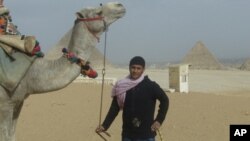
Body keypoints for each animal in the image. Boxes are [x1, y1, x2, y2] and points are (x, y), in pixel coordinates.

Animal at [0, 2, 125, 141]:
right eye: (98, 12)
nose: (119, 5)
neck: (32, 71)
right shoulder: (5, 103)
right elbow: (6, 136)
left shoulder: (18, 101)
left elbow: (12, 135)